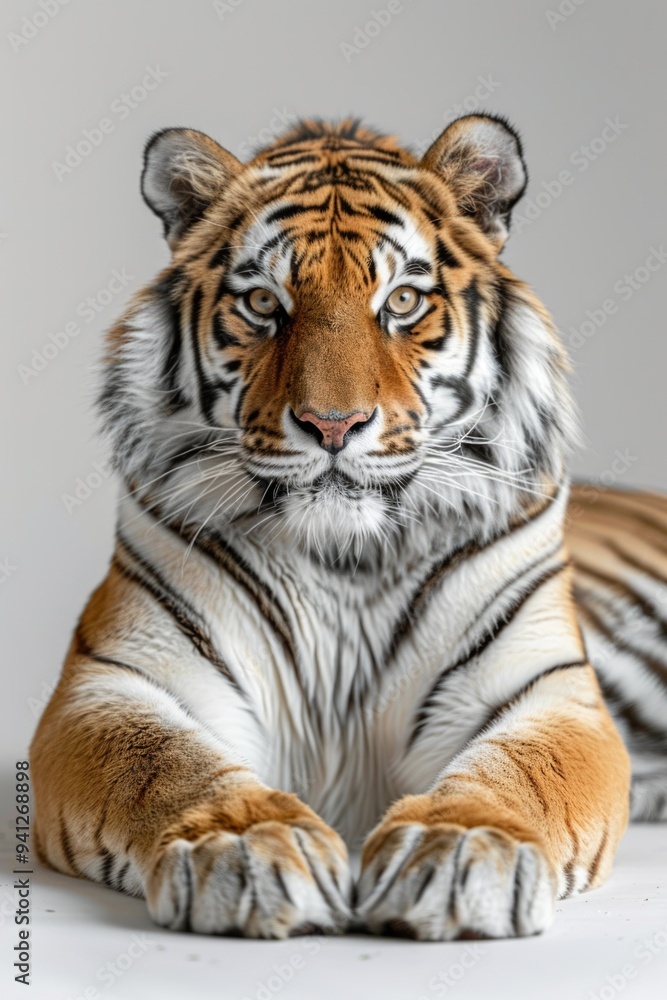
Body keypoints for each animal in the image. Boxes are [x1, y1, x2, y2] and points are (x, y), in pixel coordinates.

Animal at [30, 115, 667, 942]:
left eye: (402, 300)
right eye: (263, 303)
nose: (332, 424)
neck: (343, 557)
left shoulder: (545, 692)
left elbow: (521, 774)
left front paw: (460, 850)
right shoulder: (113, 687)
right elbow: (164, 764)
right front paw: (247, 847)